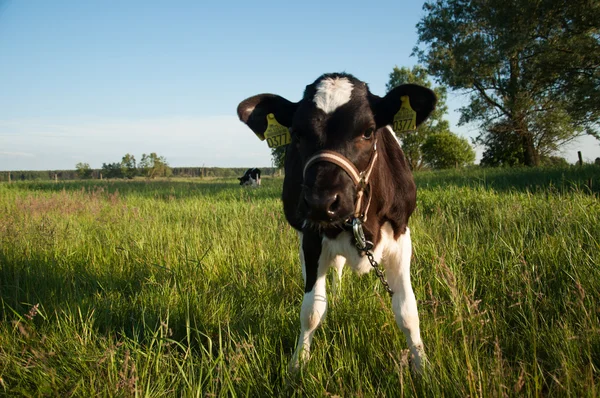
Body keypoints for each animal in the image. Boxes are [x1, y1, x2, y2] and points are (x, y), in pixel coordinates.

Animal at [236, 72, 436, 374]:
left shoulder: (402, 234)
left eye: (368, 131)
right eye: (297, 133)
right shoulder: (311, 237)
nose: (321, 201)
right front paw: (298, 365)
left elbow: (407, 311)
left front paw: (423, 366)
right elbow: (311, 311)